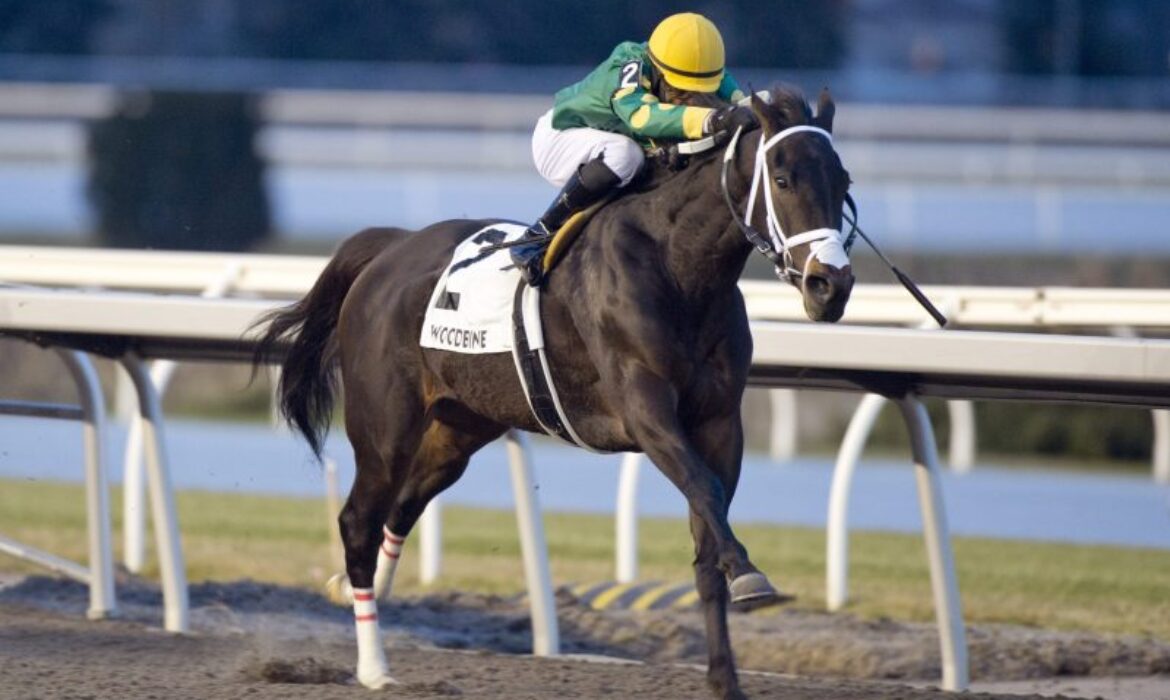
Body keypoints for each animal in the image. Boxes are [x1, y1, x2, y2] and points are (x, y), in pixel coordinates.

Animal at [256, 87, 856, 700]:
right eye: (782, 179)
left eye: (844, 182)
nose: (830, 285)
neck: (678, 269)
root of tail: (390, 249)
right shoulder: (645, 411)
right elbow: (706, 492)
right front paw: (751, 576)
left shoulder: (718, 422)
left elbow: (706, 533)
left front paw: (724, 676)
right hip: (385, 427)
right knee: (358, 521)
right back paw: (373, 664)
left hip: (458, 428)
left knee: (400, 508)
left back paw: (368, 592)